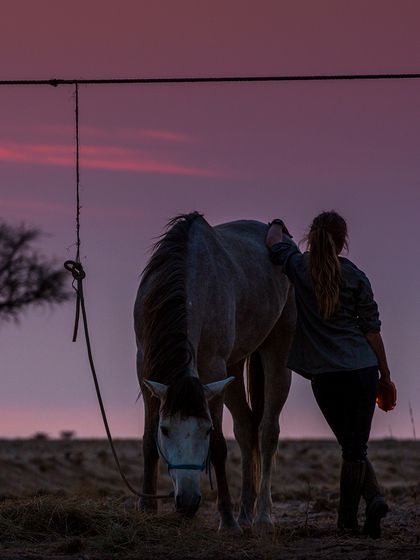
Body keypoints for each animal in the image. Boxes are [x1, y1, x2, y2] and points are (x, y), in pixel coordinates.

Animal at [135, 212, 296, 532]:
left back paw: (261, 517)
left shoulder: (212, 370)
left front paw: (228, 520)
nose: (187, 503)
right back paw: (245, 512)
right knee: (246, 429)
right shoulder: (144, 368)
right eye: (166, 429)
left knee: (267, 431)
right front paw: (147, 508)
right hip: (232, 370)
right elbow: (148, 442)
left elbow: (220, 446)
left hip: (276, 353)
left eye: (206, 430)